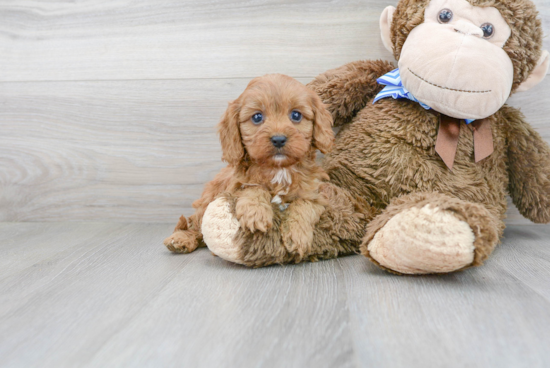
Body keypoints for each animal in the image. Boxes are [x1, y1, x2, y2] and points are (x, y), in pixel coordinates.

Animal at [164, 73, 334, 258]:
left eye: (296, 115)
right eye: (257, 117)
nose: (279, 139)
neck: (278, 169)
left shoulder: (316, 194)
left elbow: (304, 205)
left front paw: (298, 235)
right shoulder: (234, 187)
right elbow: (253, 187)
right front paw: (256, 213)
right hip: (207, 201)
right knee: (195, 225)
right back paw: (181, 239)